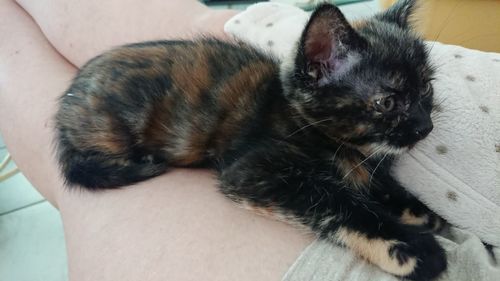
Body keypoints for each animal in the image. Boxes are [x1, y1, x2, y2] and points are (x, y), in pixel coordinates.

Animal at [54, 1, 446, 278]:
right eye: (388, 102)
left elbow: (378, 186)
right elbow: (338, 202)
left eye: (426, 89)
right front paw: (410, 247)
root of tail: (63, 107)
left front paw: (420, 211)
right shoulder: (253, 172)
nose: (425, 126)